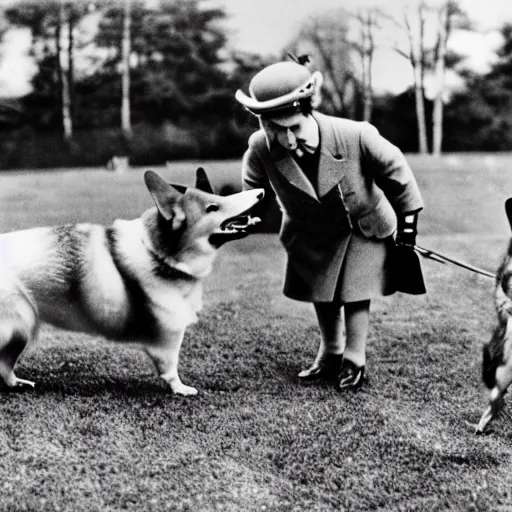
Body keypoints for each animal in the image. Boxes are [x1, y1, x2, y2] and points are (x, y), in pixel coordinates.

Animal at [0, 168, 264, 396]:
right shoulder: (169, 336)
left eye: (218, 197)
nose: (261, 192)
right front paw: (181, 389)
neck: (157, 252)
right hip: (20, 325)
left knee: (5, 367)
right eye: (212, 208)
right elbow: (171, 368)